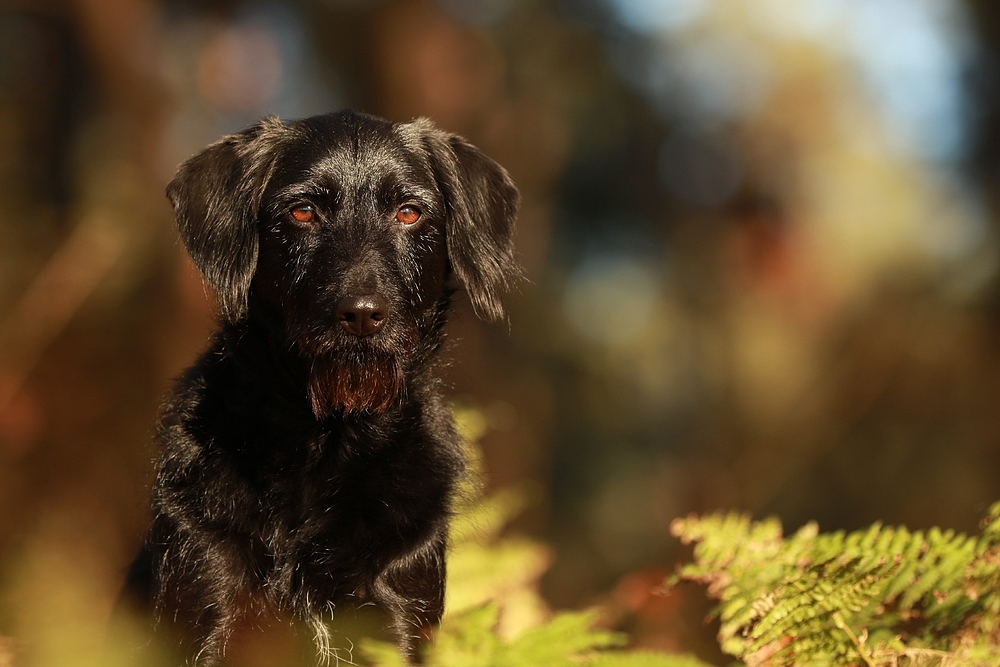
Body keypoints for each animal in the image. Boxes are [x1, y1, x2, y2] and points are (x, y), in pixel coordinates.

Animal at [121, 112, 520, 664]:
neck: (322, 441)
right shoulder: (205, 601)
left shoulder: (396, 612)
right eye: (303, 211)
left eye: (409, 212)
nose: (362, 314)